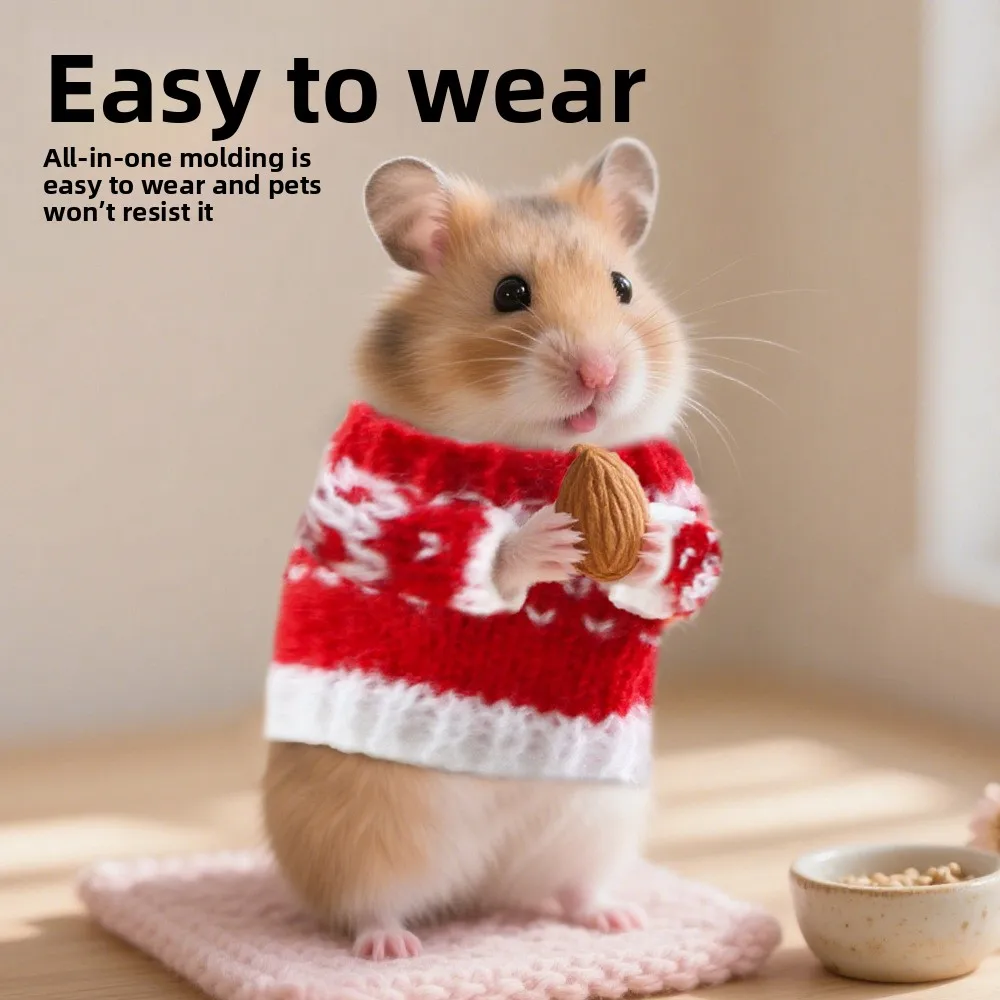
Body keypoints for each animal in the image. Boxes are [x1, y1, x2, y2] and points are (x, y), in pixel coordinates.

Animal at [263, 138, 692, 960]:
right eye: (509, 293)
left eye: (623, 286)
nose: (600, 372)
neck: (536, 449)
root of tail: (476, 888)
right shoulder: (370, 502)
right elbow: (456, 547)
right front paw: (550, 538)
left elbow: (690, 566)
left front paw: (651, 536)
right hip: (360, 825)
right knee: (362, 903)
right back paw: (392, 949)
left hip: (593, 824)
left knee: (568, 886)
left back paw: (616, 919)